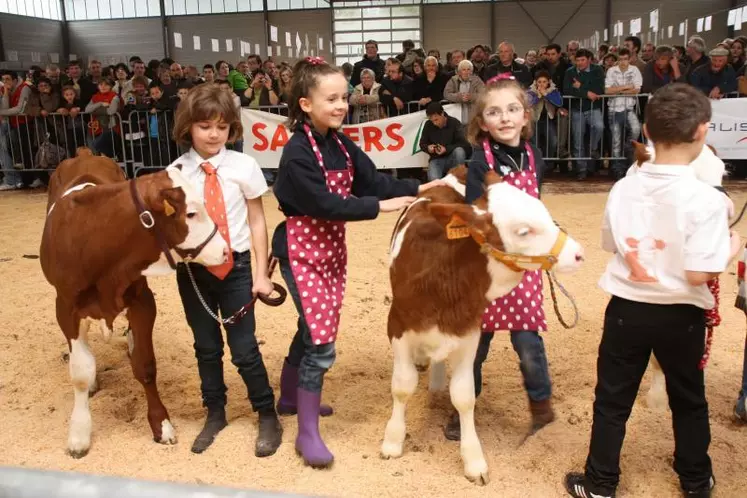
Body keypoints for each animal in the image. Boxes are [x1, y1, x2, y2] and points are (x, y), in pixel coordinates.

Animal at [40, 153, 228, 460]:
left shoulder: (142, 300)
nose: (226, 251)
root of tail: (84, 153)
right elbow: (80, 373)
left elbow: (145, 365)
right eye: (190, 213)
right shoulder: (65, 308)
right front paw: (79, 434)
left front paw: (161, 425)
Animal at [386, 167, 584, 482]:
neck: (443, 277)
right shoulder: (398, 325)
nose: (578, 253)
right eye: (523, 230)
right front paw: (392, 441)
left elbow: (464, 395)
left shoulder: (467, 331)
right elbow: (403, 386)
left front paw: (473, 460)